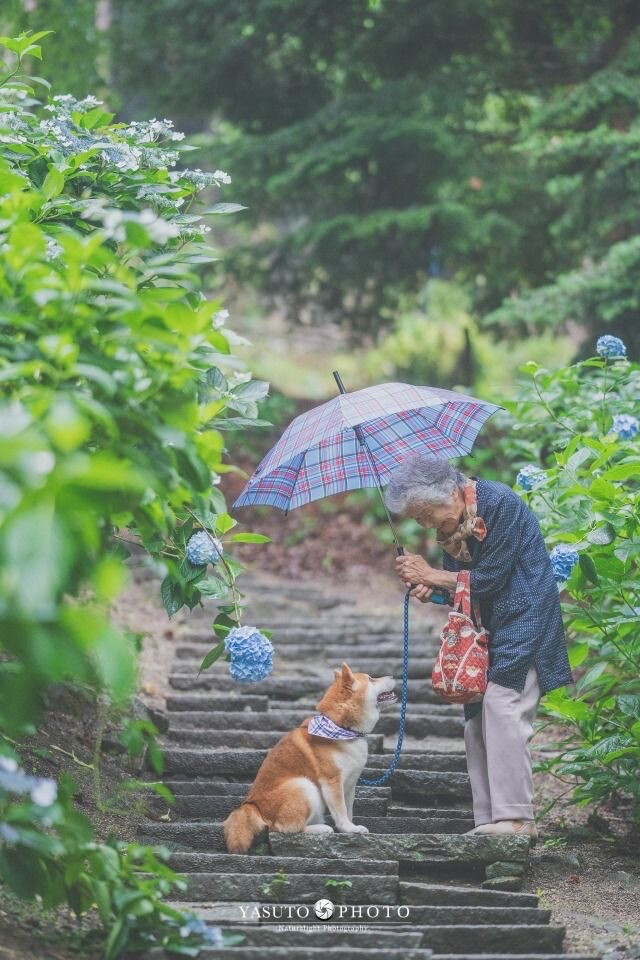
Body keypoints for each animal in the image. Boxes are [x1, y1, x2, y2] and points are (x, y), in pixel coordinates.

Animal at [224, 660, 396, 856]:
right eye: (371, 678)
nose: (393, 675)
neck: (341, 727)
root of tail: (253, 805)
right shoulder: (332, 782)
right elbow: (341, 810)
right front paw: (348, 829)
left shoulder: (351, 783)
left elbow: (348, 809)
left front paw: (350, 826)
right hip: (304, 786)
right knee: (285, 828)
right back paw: (321, 829)